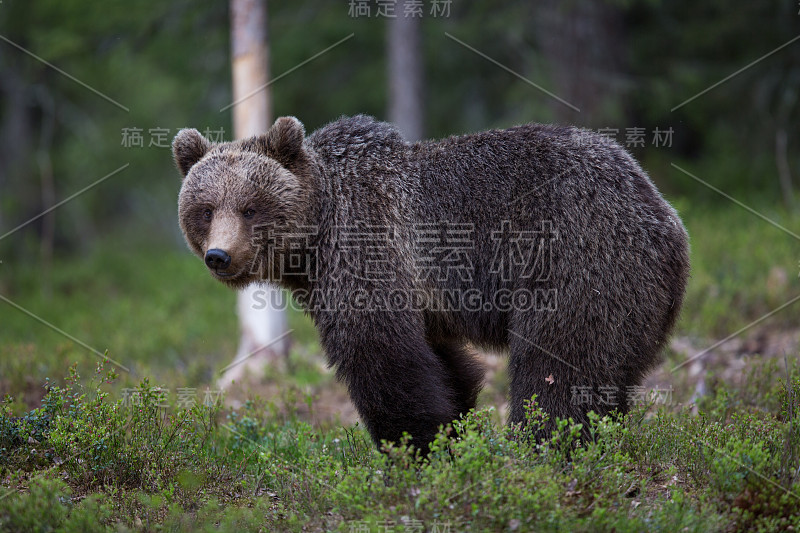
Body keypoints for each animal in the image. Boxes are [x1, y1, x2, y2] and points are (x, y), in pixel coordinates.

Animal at [172, 115, 692, 454]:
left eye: (249, 208)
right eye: (205, 209)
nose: (220, 256)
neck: (316, 235)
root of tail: (665, 216)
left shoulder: (369, 249)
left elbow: (382, 358)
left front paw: (414, 448)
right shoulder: (423, 300)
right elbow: (444, 365)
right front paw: (453, 432)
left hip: (577, 259)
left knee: (560, 364)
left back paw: (540, 446)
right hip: (635, 299)